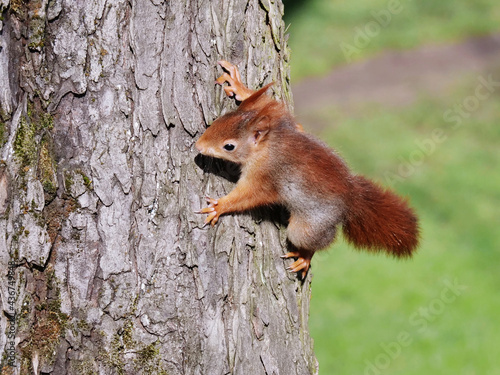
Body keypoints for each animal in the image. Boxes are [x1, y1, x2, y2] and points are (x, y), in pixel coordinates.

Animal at [195, 61, 418, 280]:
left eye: (229, 146)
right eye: (220, 120)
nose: (198, 145)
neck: (269, 144)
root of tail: (352, 199)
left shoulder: (265, 176)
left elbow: (248, 195)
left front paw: (219, 206)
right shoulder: (285, 122)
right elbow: (286, 115)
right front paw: (240, 87)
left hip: (308, 225)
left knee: (319, 240)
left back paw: (305, 257)